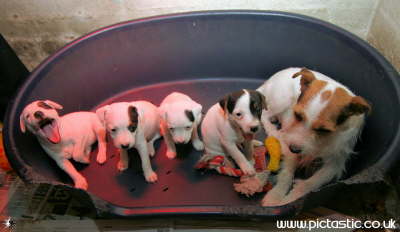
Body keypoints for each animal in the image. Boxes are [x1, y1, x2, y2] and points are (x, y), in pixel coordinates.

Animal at [256, 67, 372, 207]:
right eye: (297, 115)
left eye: (323, 129)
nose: (293, 149)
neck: (323, 141)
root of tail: (267, 83)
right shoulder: (292, 146)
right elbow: (286, 174)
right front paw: (276, 195)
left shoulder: (335, 163)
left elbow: (311, 183)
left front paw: (291, 199)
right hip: (281, 100)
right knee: (264, 114)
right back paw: (275, 132)